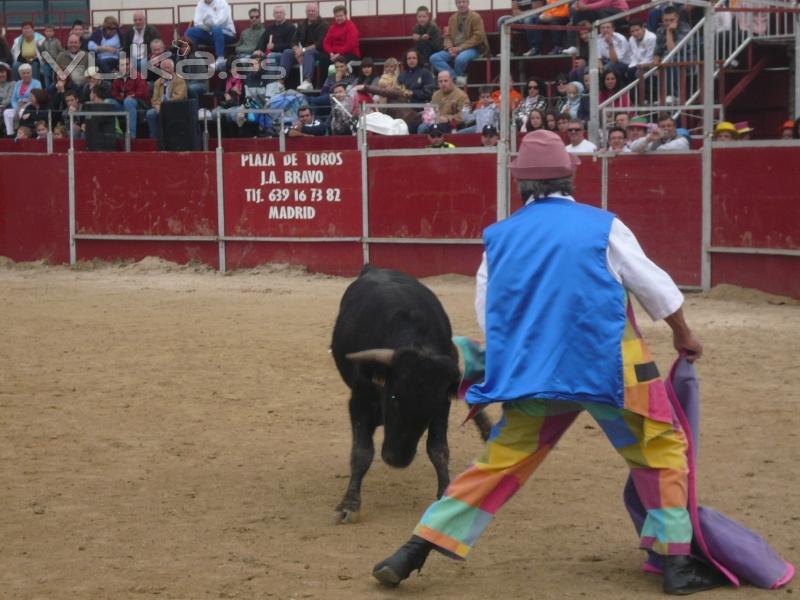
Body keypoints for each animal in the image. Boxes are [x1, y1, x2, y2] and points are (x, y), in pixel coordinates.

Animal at [328, 268, 490, 524]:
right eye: (394, 396)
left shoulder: (443, 406)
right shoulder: (359, 402)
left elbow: (438, 450)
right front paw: (349, 505)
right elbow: (361, 453)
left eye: (430, 407)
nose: (397, 460)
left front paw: (444, 494)